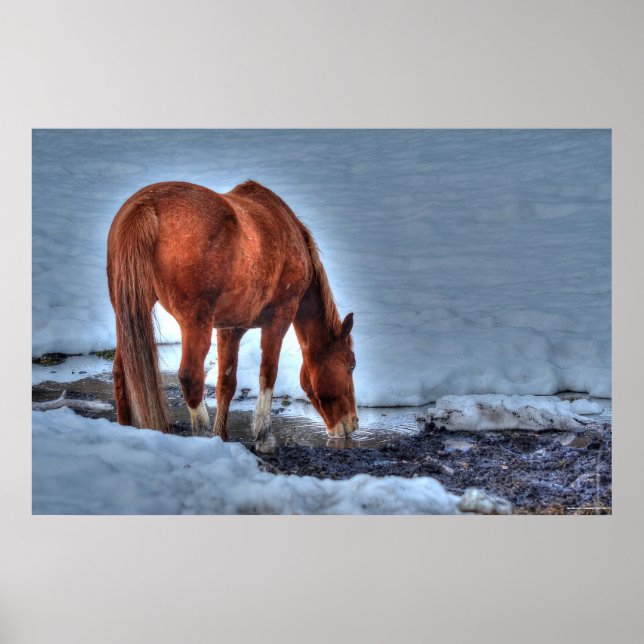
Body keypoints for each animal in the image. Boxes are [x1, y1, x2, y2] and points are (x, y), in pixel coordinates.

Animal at [106, 180, 358, 443]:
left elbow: (226, 384)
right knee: (190, 376)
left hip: (128, 315)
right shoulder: (280, 317)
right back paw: (203, 434)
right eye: (351, 364)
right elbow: (268, 373)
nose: (353, 422)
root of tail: (147, 204)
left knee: (120, 372)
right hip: (196, 321)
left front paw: (223, 434)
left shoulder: (230, 328)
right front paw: (263, 435)